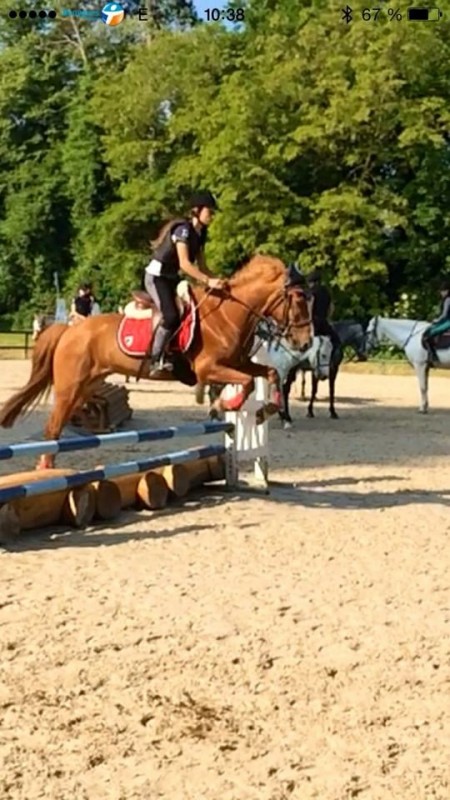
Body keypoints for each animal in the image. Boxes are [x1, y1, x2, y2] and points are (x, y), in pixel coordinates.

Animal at [0, 255, 313, 468]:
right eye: (298, 300)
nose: (306, 343)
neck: (228, 315)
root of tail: (69, 330)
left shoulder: (238, 362)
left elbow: (269, 373)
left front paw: (264, 411)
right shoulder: (208, 369)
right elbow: (247, 383)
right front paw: (224, 405)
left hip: (86, 385)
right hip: (69, 387)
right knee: (52, 428)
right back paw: (45, 469)